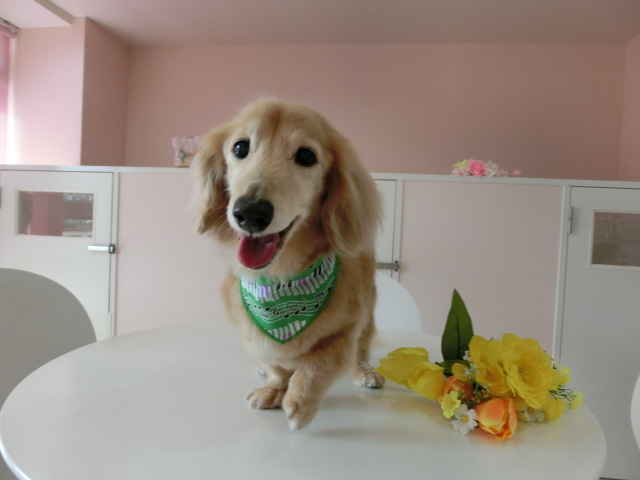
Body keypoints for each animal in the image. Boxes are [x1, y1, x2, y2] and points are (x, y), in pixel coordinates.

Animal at [193, 99, 385, 430]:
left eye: (307, 156)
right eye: (240, 147)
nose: (250, 212)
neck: (280, 279)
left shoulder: (346, 327)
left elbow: (321, 363)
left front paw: (300, 402)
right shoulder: (254, 334)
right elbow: (277, 365)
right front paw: (275, 387)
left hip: (368, 312)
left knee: (360, 349)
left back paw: (364, 371)